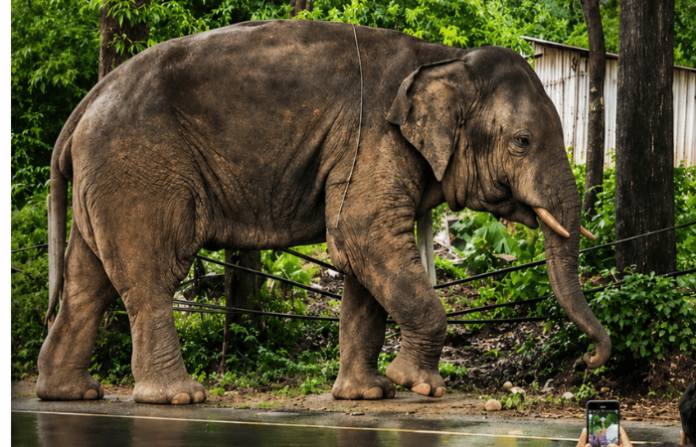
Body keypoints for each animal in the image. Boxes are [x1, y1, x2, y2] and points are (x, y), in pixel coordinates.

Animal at [36, 19, 610, 405]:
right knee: (151, 273)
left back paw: (69, 393)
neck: (444, 56)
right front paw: (417, 386)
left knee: (88, 280)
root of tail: (86, 103)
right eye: (522, 141)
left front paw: (368, 394)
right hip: (139, 170)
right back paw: (179, 397)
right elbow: (361, 236)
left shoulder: (367, 152)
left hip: (108, 177)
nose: (589, 361)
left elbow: (362, 260)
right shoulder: (376, 138)